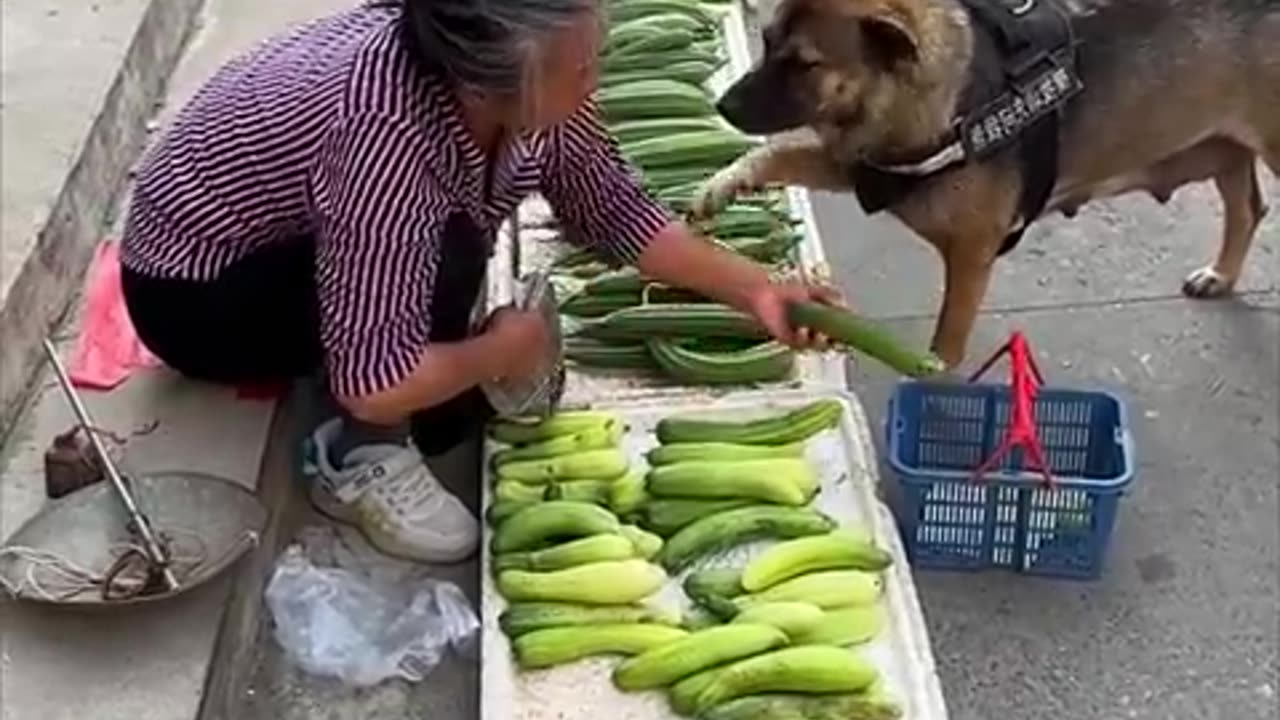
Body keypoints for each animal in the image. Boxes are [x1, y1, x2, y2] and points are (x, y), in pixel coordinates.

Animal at [701, 0, 1280, 363]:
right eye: (766, 41)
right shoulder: (863, 168)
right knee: (1246, 207)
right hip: (1223, 147)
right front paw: (725, 182)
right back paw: (1221, 275)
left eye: (805, 64)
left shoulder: (971, 255)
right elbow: (781, 152)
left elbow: (947, 341)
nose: (723, 105)